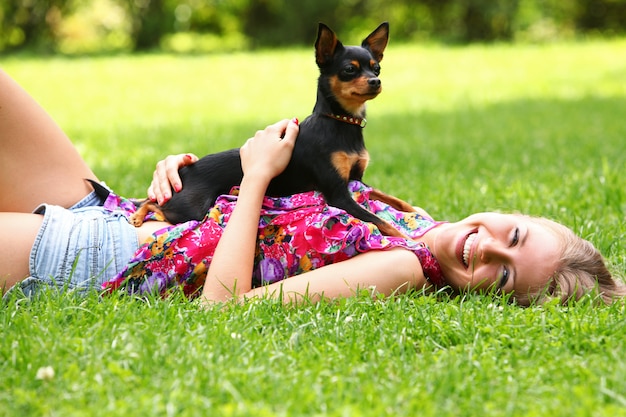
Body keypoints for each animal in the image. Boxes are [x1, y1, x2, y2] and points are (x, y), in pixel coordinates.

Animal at [130, 22, 414, 237]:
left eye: (377, 68)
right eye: (349, 70)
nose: (376, 81)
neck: (341, 122)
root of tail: (186, 170)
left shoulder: (357, 180)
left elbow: (388, 196)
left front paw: (411, 209)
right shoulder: (339, 193)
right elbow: (379, 220)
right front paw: (408, 239)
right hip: (192, 209)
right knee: (155, 205)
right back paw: (138, 215)